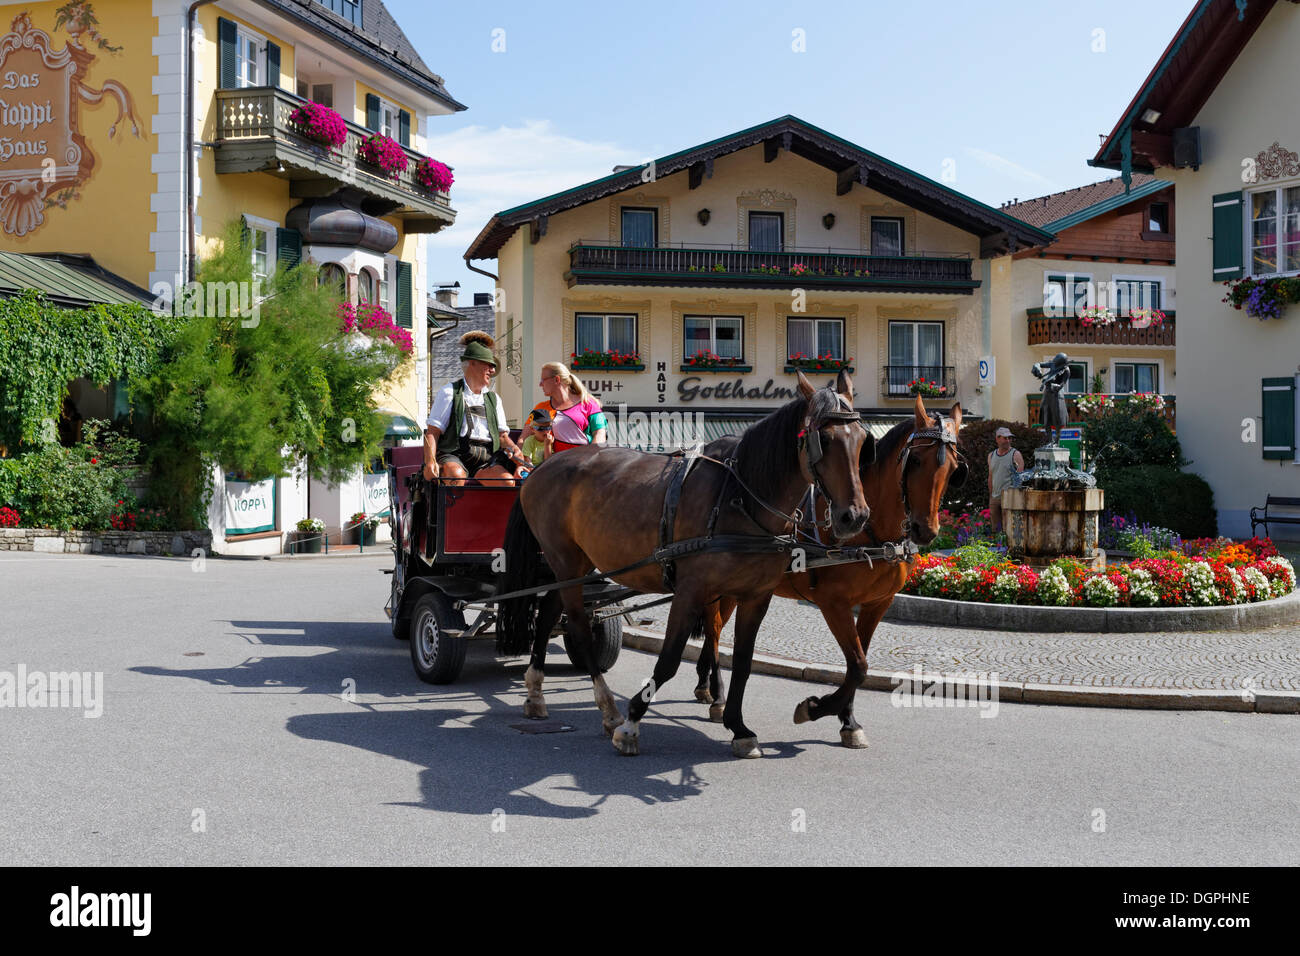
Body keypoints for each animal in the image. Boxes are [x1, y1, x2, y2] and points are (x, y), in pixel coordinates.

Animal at [496, 369, 873, 759]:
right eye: (823, 439)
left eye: (863, 441)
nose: (854, 517)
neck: (739, 498)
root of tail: (541, 467)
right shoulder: (691, 591)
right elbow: (670, 659)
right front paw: (632, 722)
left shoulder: (756, 596)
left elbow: (743, 662)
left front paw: (739, 727)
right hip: (565, 560)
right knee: (580, 630)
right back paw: (610, 710)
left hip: (576, 565)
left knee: (548, 612)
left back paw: (535, 692)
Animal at [702, 395, 967, 749]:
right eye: (915, 461)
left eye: (953, 468)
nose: (925, 530)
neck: (872, 531)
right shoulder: (833, 603)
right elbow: (858, 666)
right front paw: (814, 708)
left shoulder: (877, 603)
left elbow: (859, 661)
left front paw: (848, 721)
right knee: (714, 630)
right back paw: (717, 694)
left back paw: (705, 687)